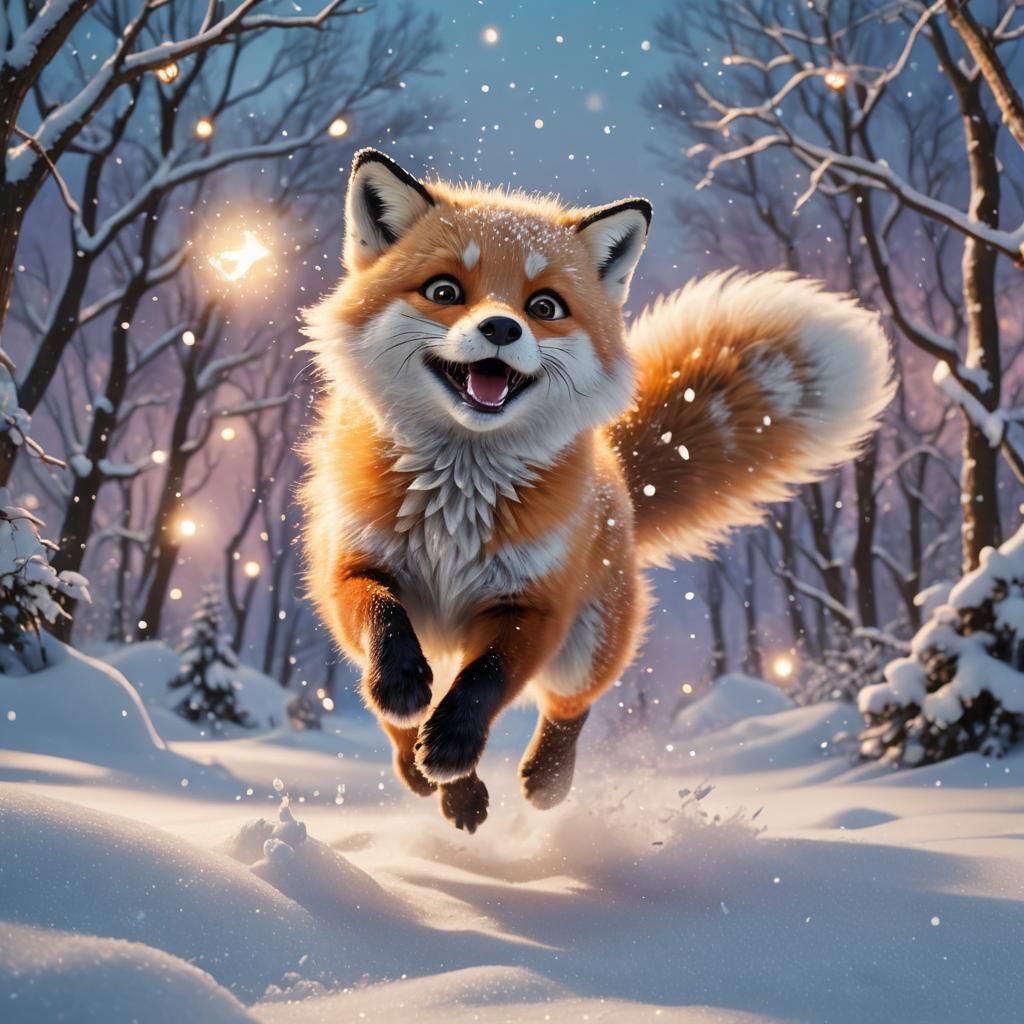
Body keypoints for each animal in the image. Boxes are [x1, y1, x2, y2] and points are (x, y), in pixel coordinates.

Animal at [300, 148, 894, 832]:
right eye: (444, 291)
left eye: (544, 307)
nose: (500, 328)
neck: (457, 506)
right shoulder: (351, 566)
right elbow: (382, 623)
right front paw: (407, 700)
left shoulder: (535, 607)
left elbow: (485, 682)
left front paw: (454, 746)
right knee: (401, 718)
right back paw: (433, 773)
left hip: (588, 641)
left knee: (570, 704)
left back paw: (540, 779)